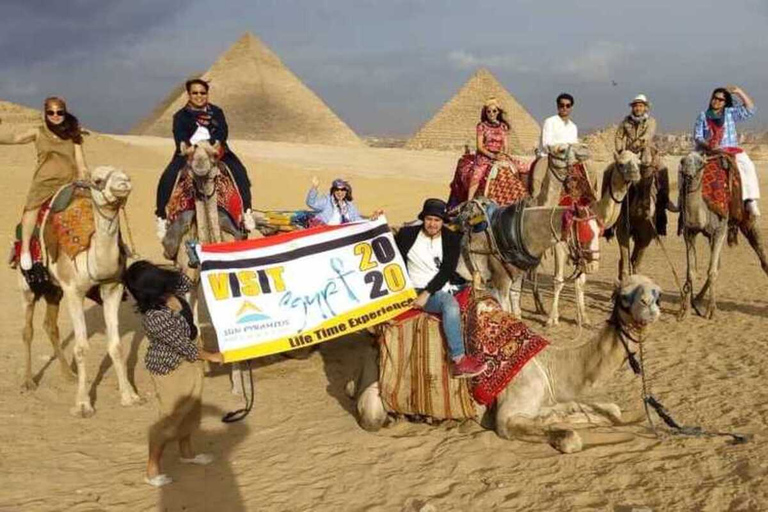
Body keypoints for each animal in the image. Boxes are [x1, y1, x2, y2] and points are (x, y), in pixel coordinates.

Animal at [20, 166, 141, 418]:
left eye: (124, 173)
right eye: (98, 179)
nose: (124, 183)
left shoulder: (112, 287)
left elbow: (116, 345)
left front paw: (130, 396)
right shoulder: (73, 290)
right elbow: (81, 347)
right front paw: (84, 404)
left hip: (54, 289)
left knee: (50, 325)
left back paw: (69, 375)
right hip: (28, 286)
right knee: (27, 329)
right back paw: (28, 381)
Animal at [354, 274, 660, 454]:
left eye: (656, 292)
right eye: (623, 296)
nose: (650, 305)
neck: (549, 365)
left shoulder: (548, 397)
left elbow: (608, 410)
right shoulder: (508, 415)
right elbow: (570, 438)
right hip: (373, 392)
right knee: (372, 415)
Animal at [544, 150, 644, 326]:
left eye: (639, 163)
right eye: (620, 164)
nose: (635, 174)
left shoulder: (587, 248)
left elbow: (580, 282)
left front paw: (583, 317)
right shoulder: (559, 244)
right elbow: (558, 280)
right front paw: (551, 318)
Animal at [680, 153, 768, 320]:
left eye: (700, 163)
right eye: (683, 161)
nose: (687, 174)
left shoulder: (719, 229)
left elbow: (712, 271)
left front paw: (711, 311)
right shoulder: (689, 233)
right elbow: (691, 272)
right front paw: (685, 311)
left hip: (746, 218)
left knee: (760, 251)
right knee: (718, 264)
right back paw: (697, 300)